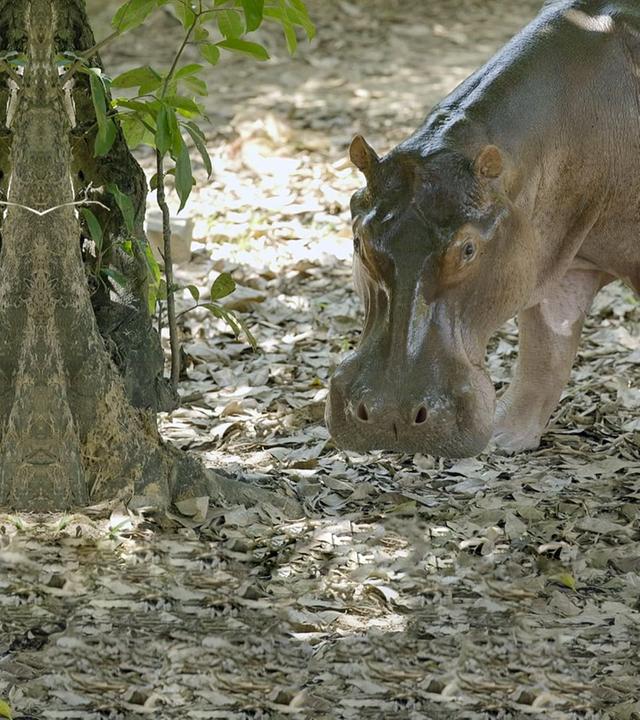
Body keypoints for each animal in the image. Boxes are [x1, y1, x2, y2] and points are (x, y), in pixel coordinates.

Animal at [326, 0, 640, 458]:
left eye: (468, 249)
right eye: (359, 241)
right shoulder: (554, 261)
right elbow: (545, 353)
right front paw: (505, 439)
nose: (389, 416)